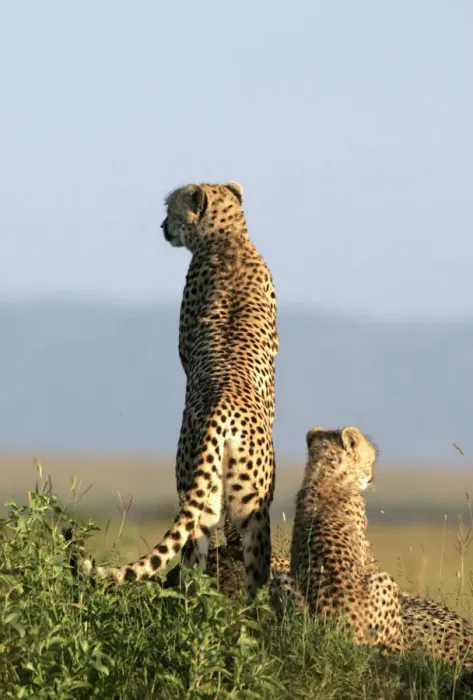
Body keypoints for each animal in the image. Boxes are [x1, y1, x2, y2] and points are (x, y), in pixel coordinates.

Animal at [74, 181, 279, 596]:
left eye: (171, 208)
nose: (161, 225)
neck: (228, 239)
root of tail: (223, 412)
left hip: (213, 491)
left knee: (198, 554)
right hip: (242, 501)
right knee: (234, 565)